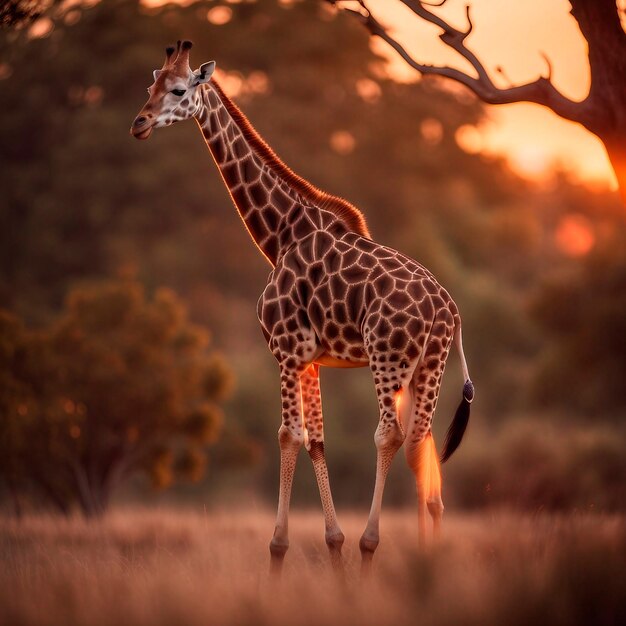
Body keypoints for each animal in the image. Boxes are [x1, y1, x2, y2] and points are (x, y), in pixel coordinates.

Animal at [132, 41, 472, 572]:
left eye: (180, 89)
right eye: (151, 83)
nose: (139, 123)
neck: (279, 234)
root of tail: (448, 311)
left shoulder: (287, 349)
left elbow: (287, 436)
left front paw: (278, 554)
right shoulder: (312, 358)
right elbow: (316, 440)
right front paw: (333, 553)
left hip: (388, 359)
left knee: (390, 434)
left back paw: (371, 547)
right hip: (427, 368)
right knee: (423, 443)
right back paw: (425, 563)